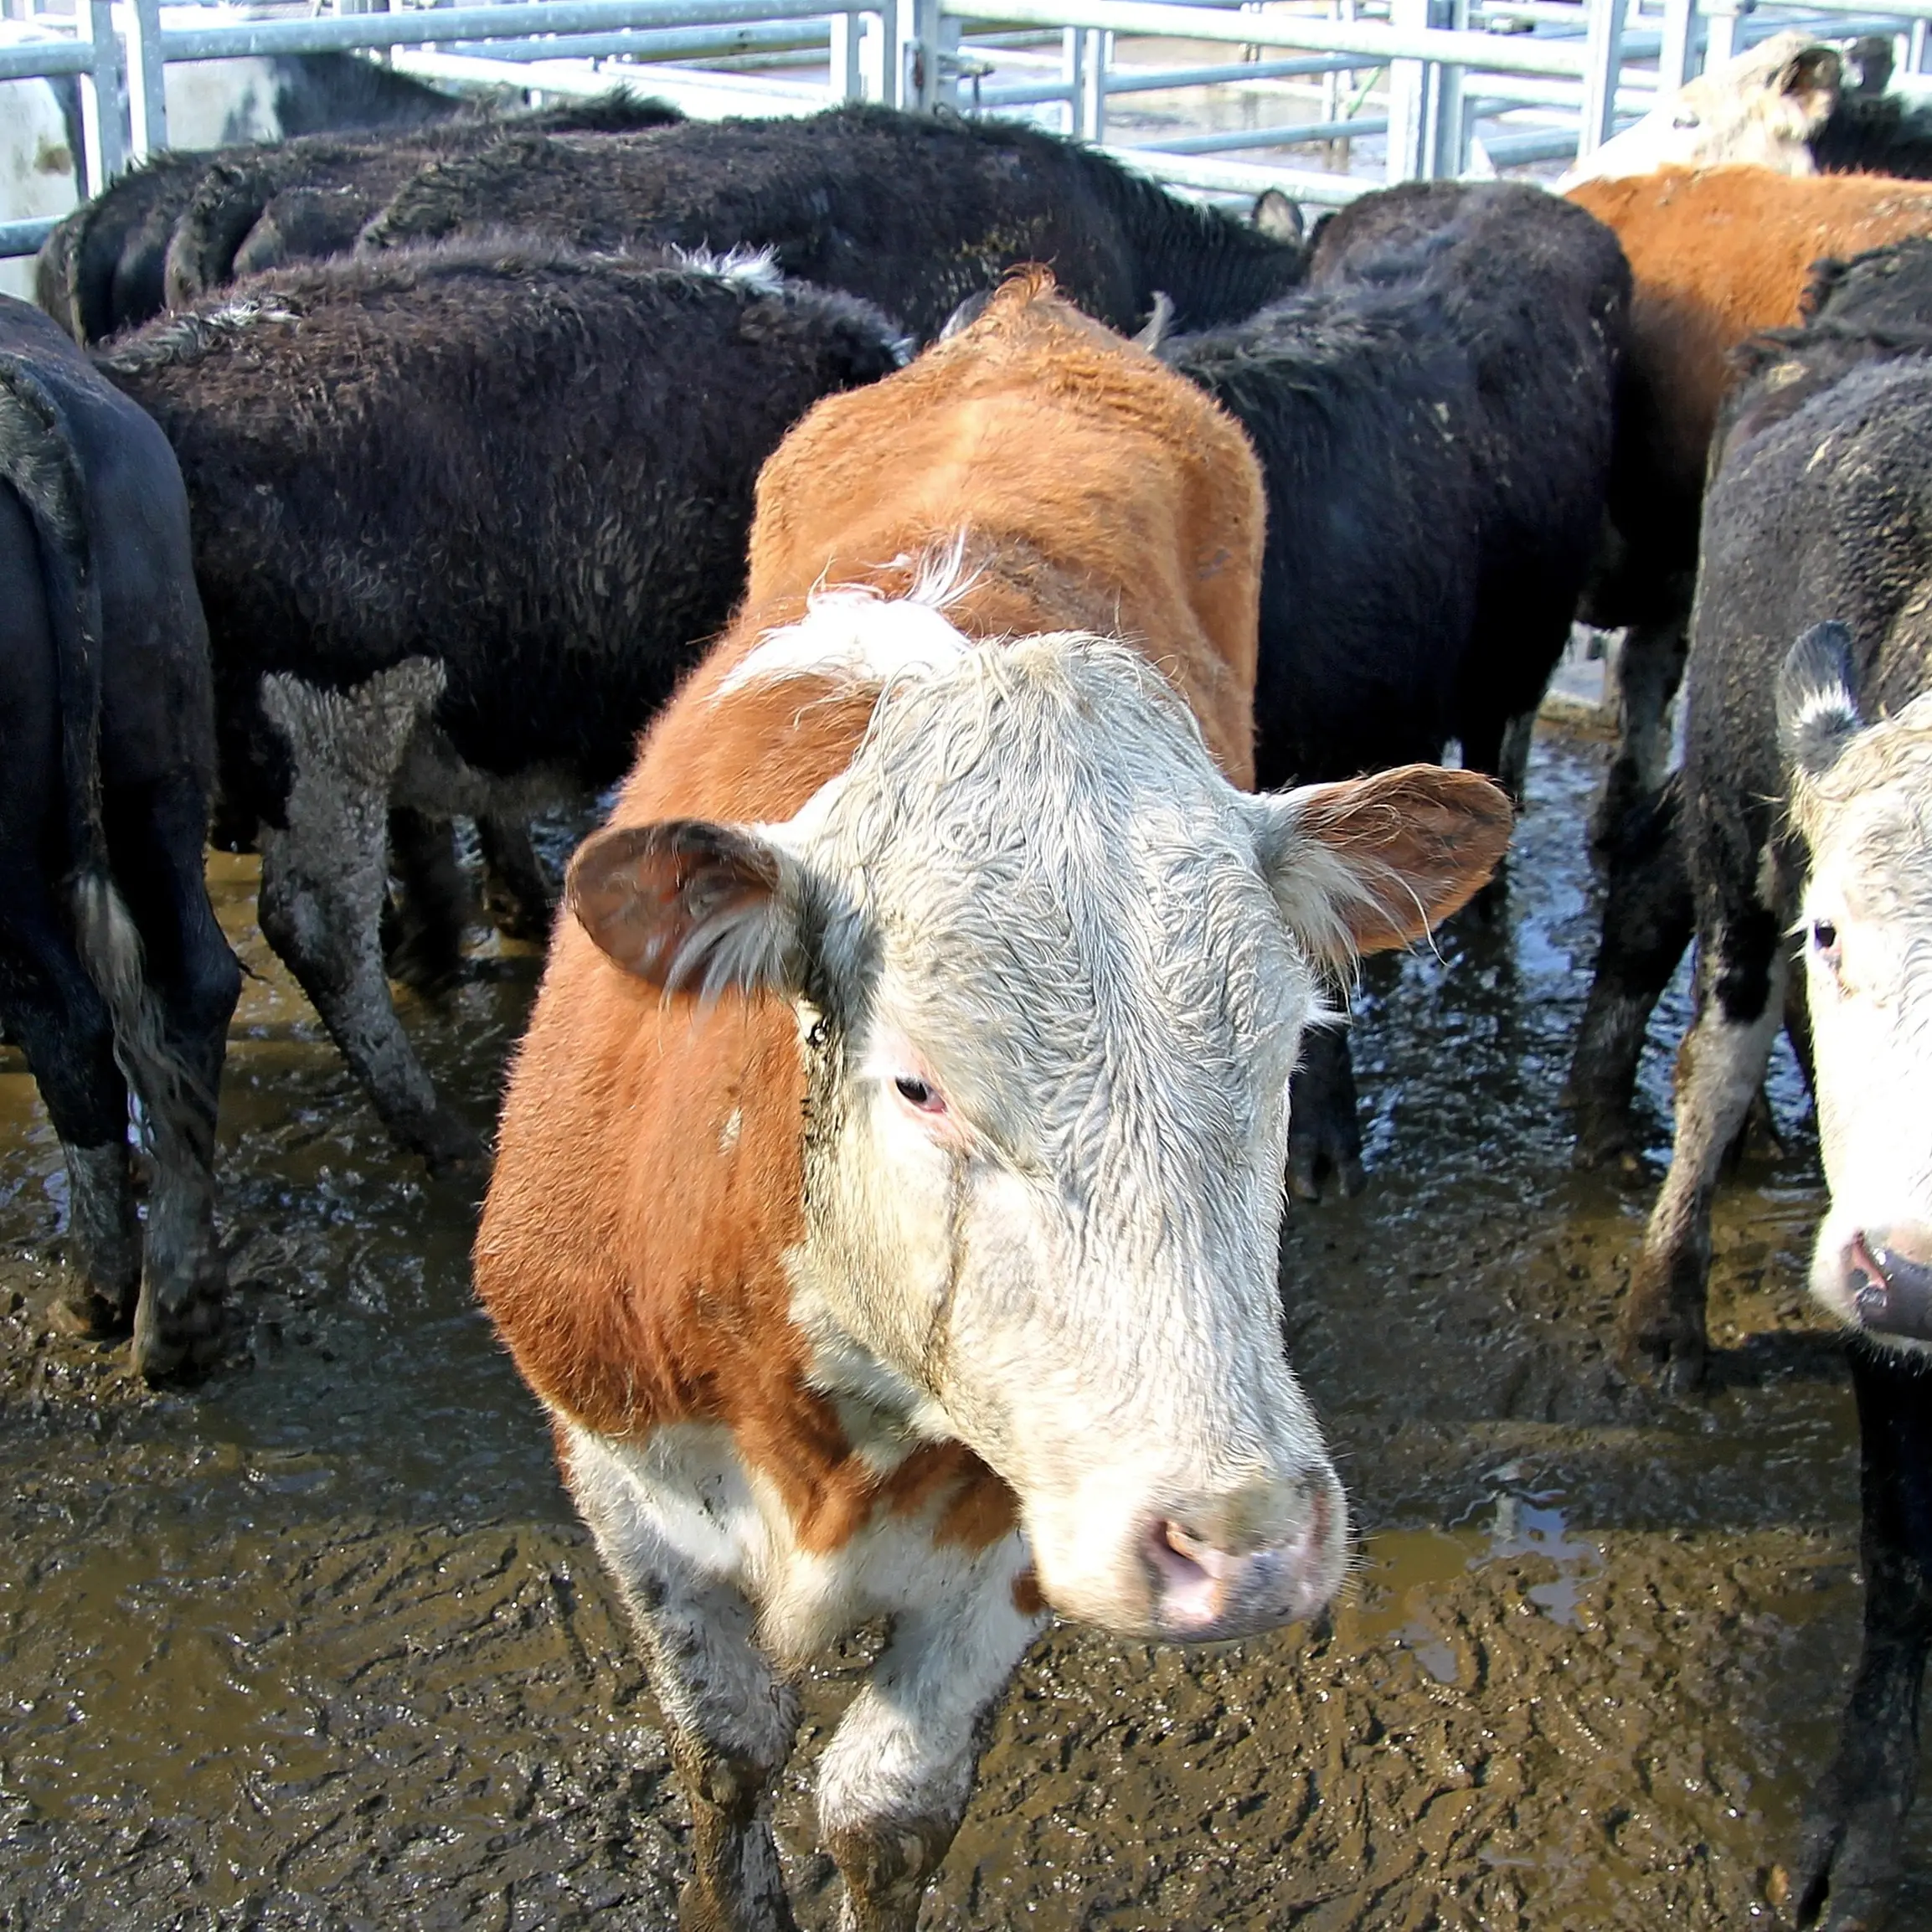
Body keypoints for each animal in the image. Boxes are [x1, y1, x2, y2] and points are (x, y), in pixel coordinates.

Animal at [473, 267, 1512, 1932]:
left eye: (1281, 1052)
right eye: (918, 1082)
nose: (1243, 1539)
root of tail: (1031, 316)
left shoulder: (1023, 1523)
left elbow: (884, 1806)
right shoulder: (617, 1468)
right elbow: (727, 1745)